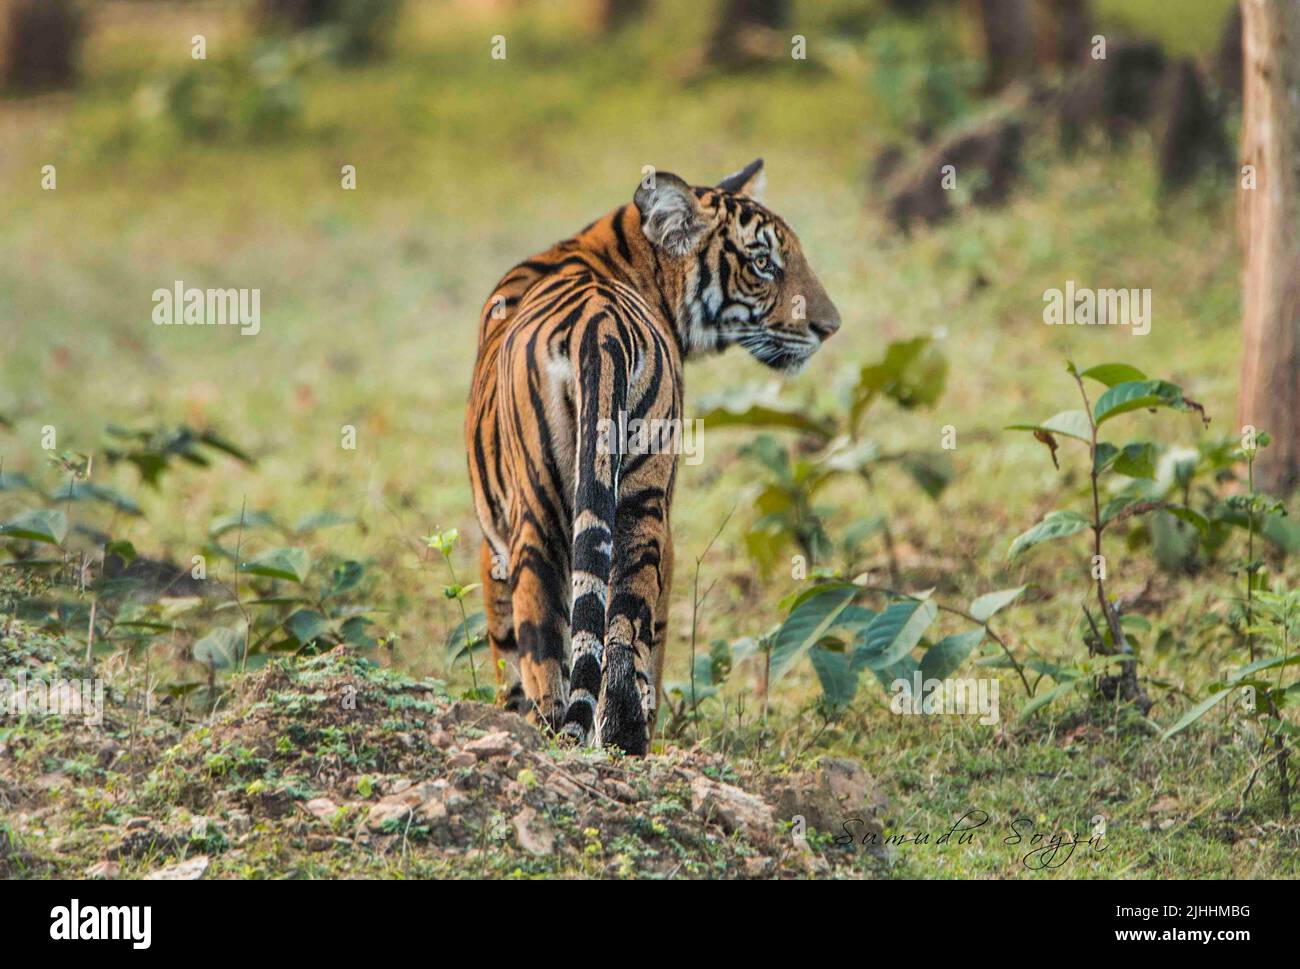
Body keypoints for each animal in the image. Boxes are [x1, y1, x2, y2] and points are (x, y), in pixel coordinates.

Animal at [467, 158, 842, 754]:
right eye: (764, 264)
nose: (830, 327)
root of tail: (600, 327)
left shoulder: (494, 541)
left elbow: (509, 645)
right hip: (641, 501)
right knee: (625, 628)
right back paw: (626, 743)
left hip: (543, 513)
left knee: (546, 640)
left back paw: (553, 737)